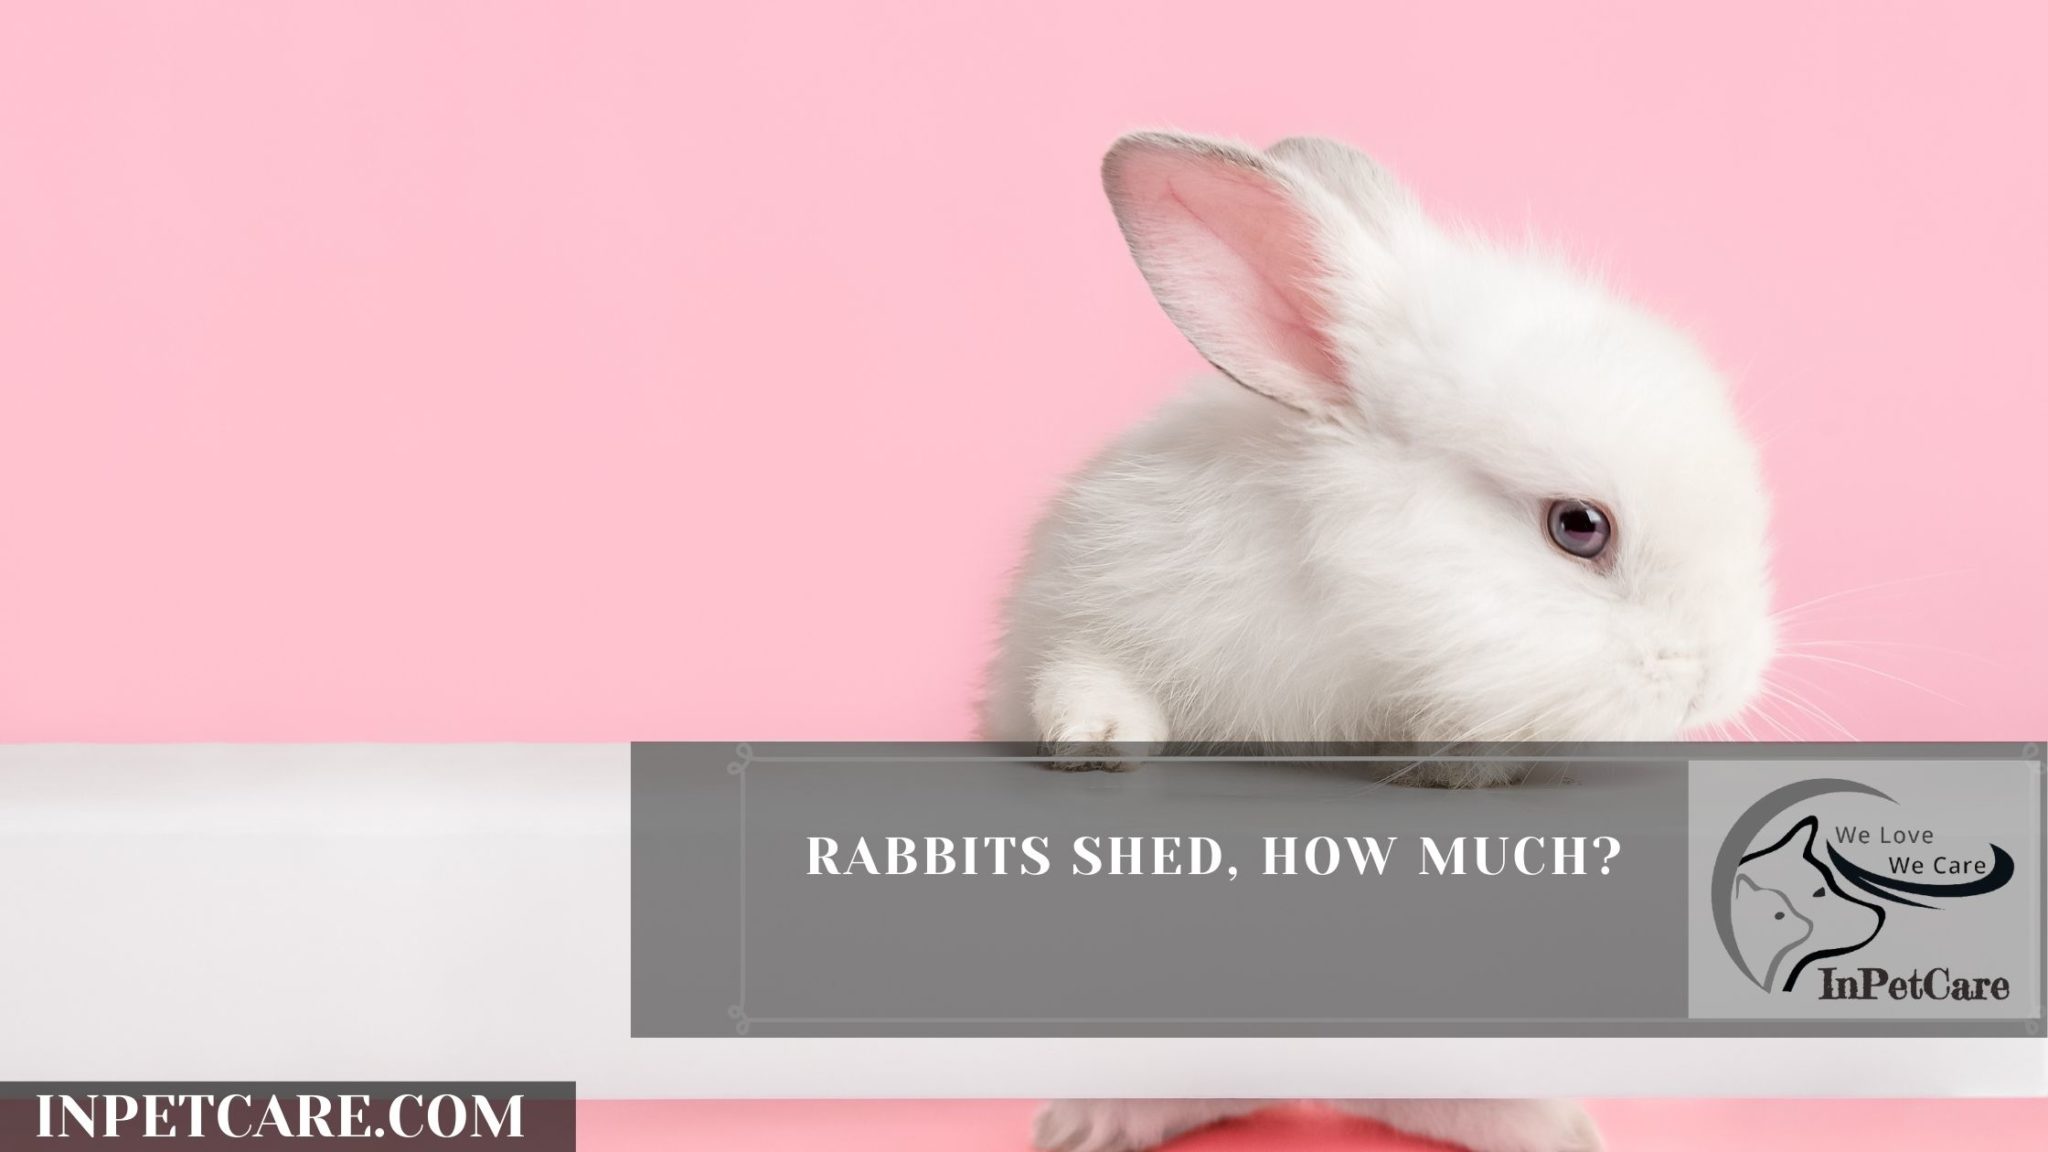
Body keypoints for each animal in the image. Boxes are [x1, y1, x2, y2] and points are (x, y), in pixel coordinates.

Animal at [978, 130, 1777, 1152]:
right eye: (1578, 527)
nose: (1718, 679)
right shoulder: (1083, 605)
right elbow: (1083, 677)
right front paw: (1101, 745)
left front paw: (1460, 769)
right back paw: (1087, 1124)